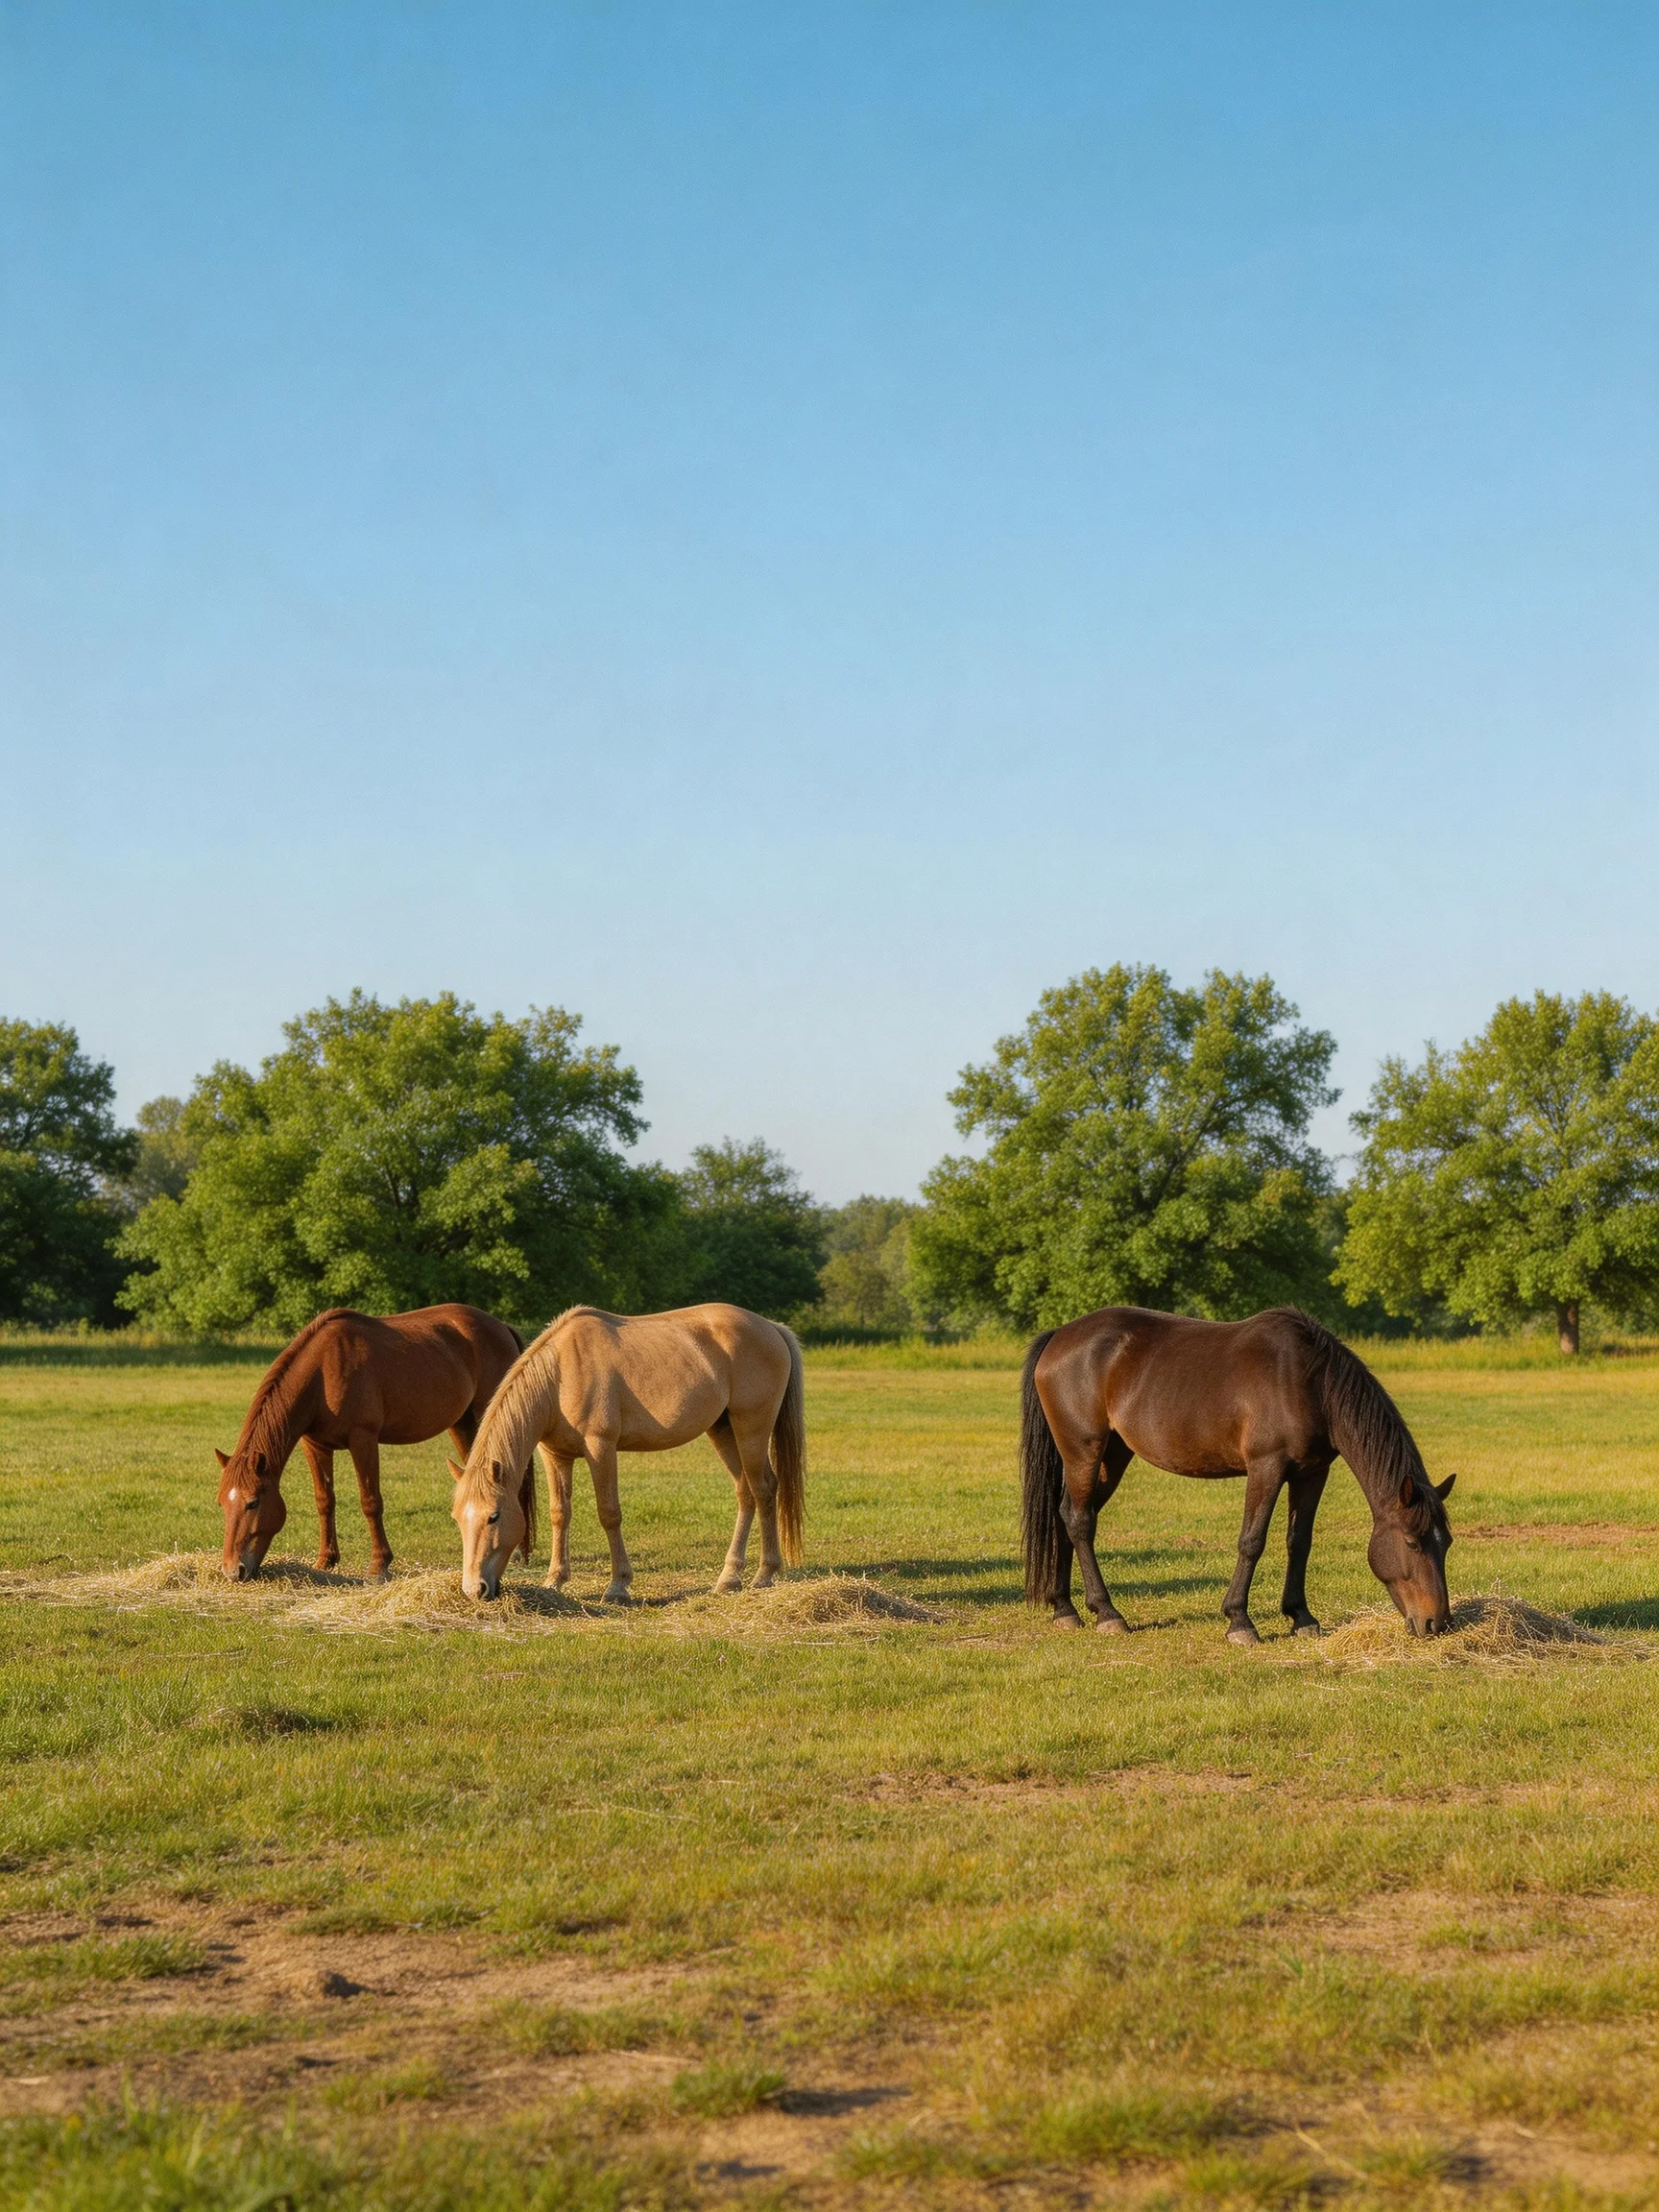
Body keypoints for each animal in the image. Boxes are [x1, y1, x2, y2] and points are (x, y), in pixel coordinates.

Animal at [216, 1304, 532, 1582]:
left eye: (252, 1503)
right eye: (221, 1503)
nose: (234, 1571)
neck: (323, 1372)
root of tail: (501, 1327)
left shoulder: (363, 1439)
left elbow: (370, 1501)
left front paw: (379, 1566)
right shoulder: (315, 1446)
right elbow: (324, 1500)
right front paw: (325, 1559)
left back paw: (518, 1552)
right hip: (462, 1424)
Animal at [449, 1302, 805, 1603]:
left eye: (493, 1516)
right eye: (457, 1518)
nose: (475, 1589)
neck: (561, 1374)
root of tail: (771, 1328)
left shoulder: (601, 1447)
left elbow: (609, 1513)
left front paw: (618, 1586)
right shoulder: (555, 1455)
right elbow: (559, 1513)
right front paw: (555, 1580)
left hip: (751, 1429)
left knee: (763, 1489)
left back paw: (764, 1574)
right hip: (723, 1430)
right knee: (745, 1492)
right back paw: (729, 1578)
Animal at [1021, 1304, 1455, 1642]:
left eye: (1446, 1543)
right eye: (1412, 1542)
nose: (1437, 1623)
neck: (1308, 1382)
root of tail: (1060, 1336)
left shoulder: (1312, 1473)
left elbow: (1300, 1541)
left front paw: (1301, 1617)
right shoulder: (1267, 1467)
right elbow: (1252, 1541)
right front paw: (1240, 1622)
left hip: (1112, 1456)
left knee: (1065, 1516)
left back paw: (1065, 1609)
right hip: (1083, 1451)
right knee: (1080, 1521)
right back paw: (1107, 1613)